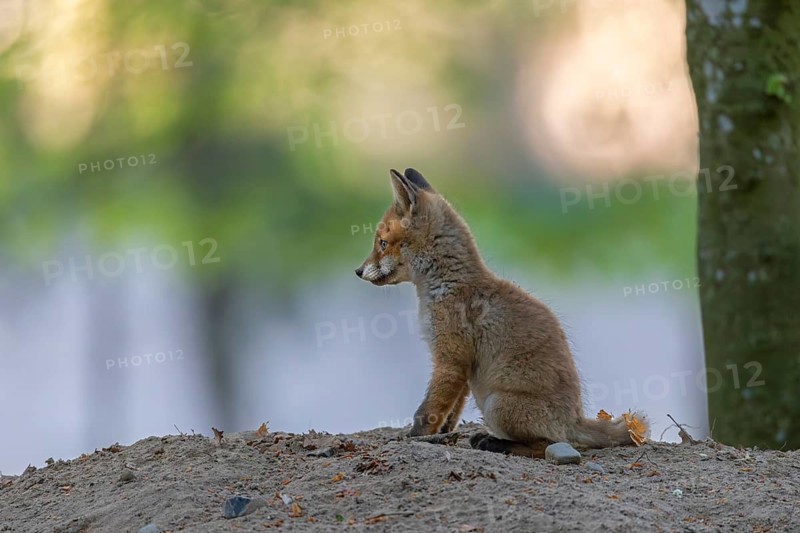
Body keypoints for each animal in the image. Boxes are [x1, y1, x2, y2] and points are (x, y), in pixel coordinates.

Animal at [355, 168, 649, 458]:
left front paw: (416, 438)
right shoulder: (463, 367)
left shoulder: (451, 360)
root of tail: (575, 419)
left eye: (382, 243)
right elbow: (451, 412)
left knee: (549, 445)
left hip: (496, 405)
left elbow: (427, 412)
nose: (358, 271)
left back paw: (497, 443)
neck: (448, 285)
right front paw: (444, 436)